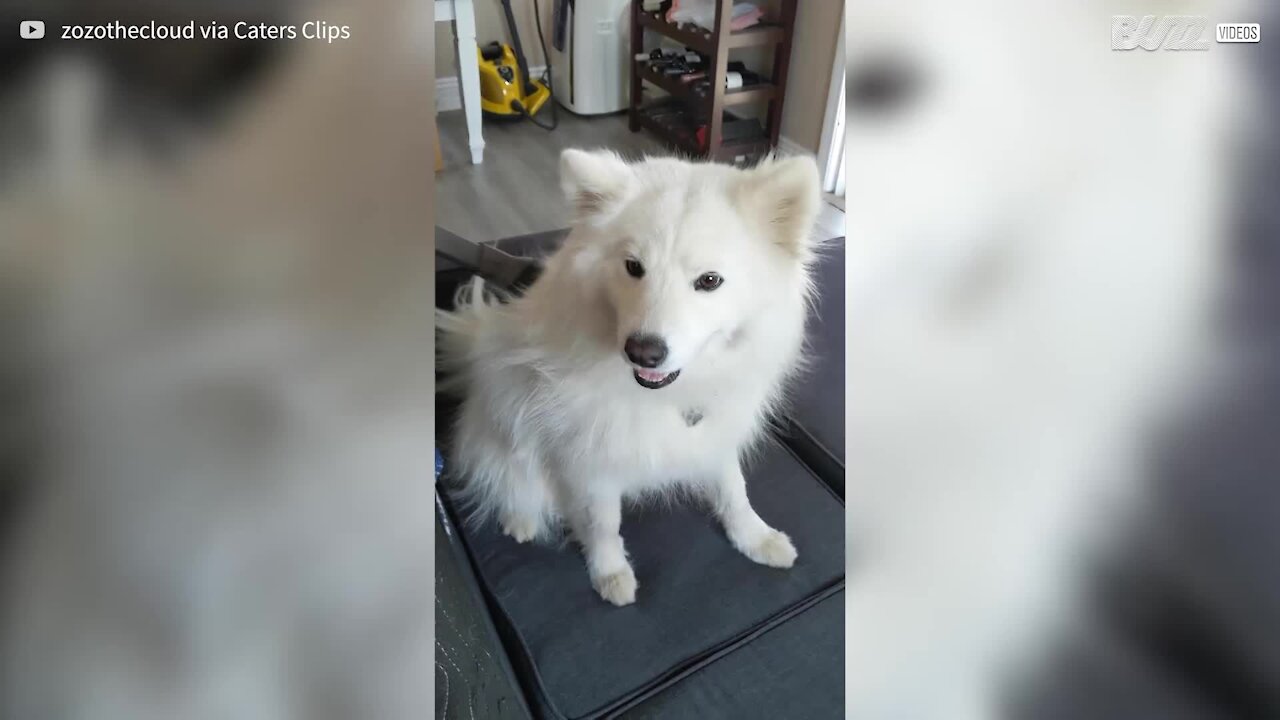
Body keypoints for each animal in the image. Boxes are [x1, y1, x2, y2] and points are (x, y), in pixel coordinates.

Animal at [437, 151, 819, 604]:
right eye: (634, 267)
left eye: (709, 281)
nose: (643, 351)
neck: (668, 394)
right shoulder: (590, 461)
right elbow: (603, 524)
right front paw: (610, 574)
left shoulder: (714, 433)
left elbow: (734, 491)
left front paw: (755, 538)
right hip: (507, 414)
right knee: (509, 471)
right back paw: (520, 519)